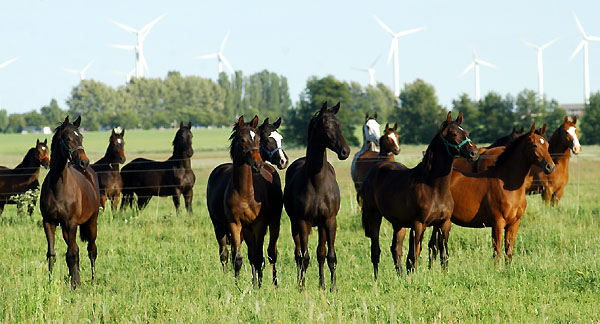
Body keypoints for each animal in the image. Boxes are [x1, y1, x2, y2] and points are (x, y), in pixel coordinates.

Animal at [39, 116, 101, 288]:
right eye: (67, 138)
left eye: (81, 137)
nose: (84, 162)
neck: (57, 187)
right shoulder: (49, 222)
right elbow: (52, 254)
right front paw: (51, 282)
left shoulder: (71, 222)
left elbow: (72, 254)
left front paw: (76, 285)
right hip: (66, 229)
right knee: (77, 249)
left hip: (91, 223)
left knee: (91, 249)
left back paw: (92, 279)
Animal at [207, 117, 288, 286]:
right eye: (242, 139)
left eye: (257, 139)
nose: (283, 161)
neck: (244, 192)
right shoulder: (234, 223)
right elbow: (237, 258)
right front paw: (237, 285)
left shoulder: (259, 225)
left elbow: (258, 257)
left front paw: (259, 285)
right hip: (219, 226)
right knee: (225, 254)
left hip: (263, 226)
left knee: (264, 254)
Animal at [282, 102, 350, 292]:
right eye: (326, 126)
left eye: (340, 125)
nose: (345, 151)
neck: (317, 183)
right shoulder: (302, 222)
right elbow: (304, 257)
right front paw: (302, 287)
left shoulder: (329, 221)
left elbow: (329, 255)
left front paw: (333, 287)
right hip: (295, 225)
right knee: (298, 254)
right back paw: (300, 282)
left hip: (321, 225)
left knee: (320, 252)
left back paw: (322, 284)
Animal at [360, 112, 478, 278]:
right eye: (454, 134)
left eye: (466, 132)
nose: (474, 153)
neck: (434, 188)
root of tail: (373, 171)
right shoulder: (418, 224)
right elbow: (414, 255)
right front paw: (413, 278)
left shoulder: (444, 223)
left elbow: (443, 254)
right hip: (374, 216)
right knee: (375, 250)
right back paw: (377, 279)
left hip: (399, 223)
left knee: (396, 249)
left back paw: (400, 276)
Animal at [428, 124, 556, 264]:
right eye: (534, 145)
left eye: (547, 145)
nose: (550, 167)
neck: (507, 185)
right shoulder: (498, 224)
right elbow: (497, 254)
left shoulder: (513, 224)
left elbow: (508, 253)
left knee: (432, 246)